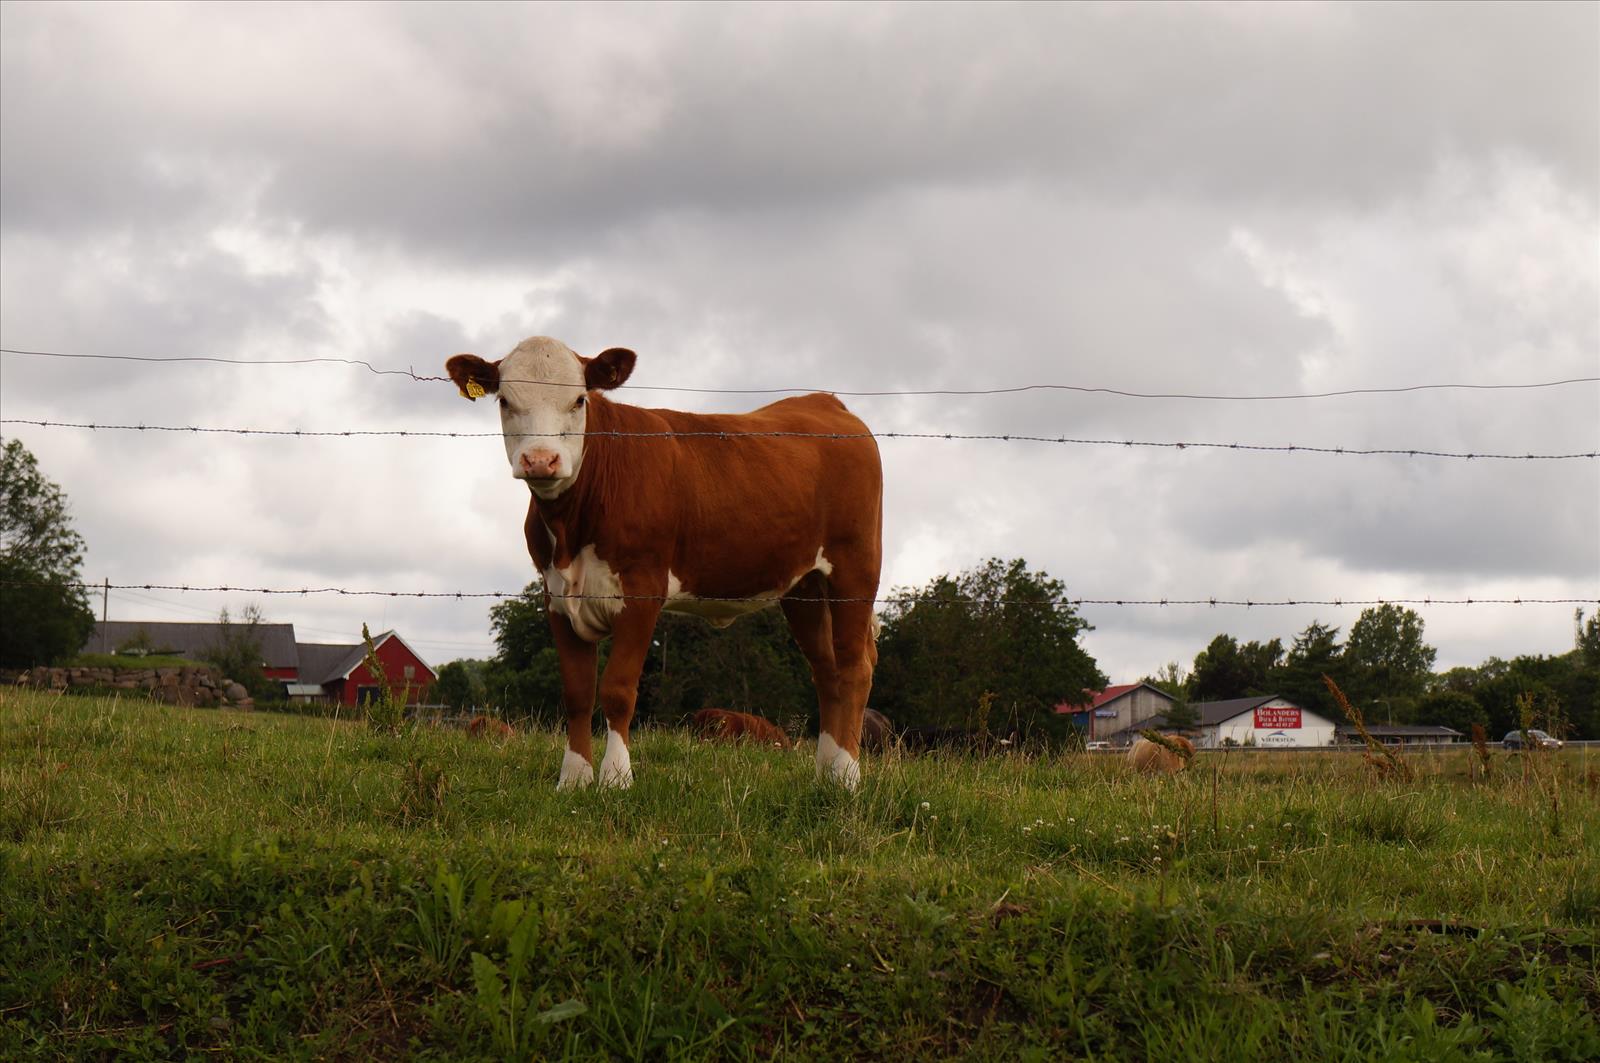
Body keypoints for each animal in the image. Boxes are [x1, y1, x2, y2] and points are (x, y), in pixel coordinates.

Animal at [444, 336, 883, 794]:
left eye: (579, 399)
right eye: (505, 400)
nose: (541, 460)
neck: (571, 530)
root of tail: (825, 401)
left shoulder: (642, 588)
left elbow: (618, 689)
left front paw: (616, 778)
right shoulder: (557, 596)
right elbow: (577, 692)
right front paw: (574, 779)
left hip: (855, 567)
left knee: (854, 666)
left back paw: (847, 776)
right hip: (804, 588)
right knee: (826, 670)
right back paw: (824, 773)